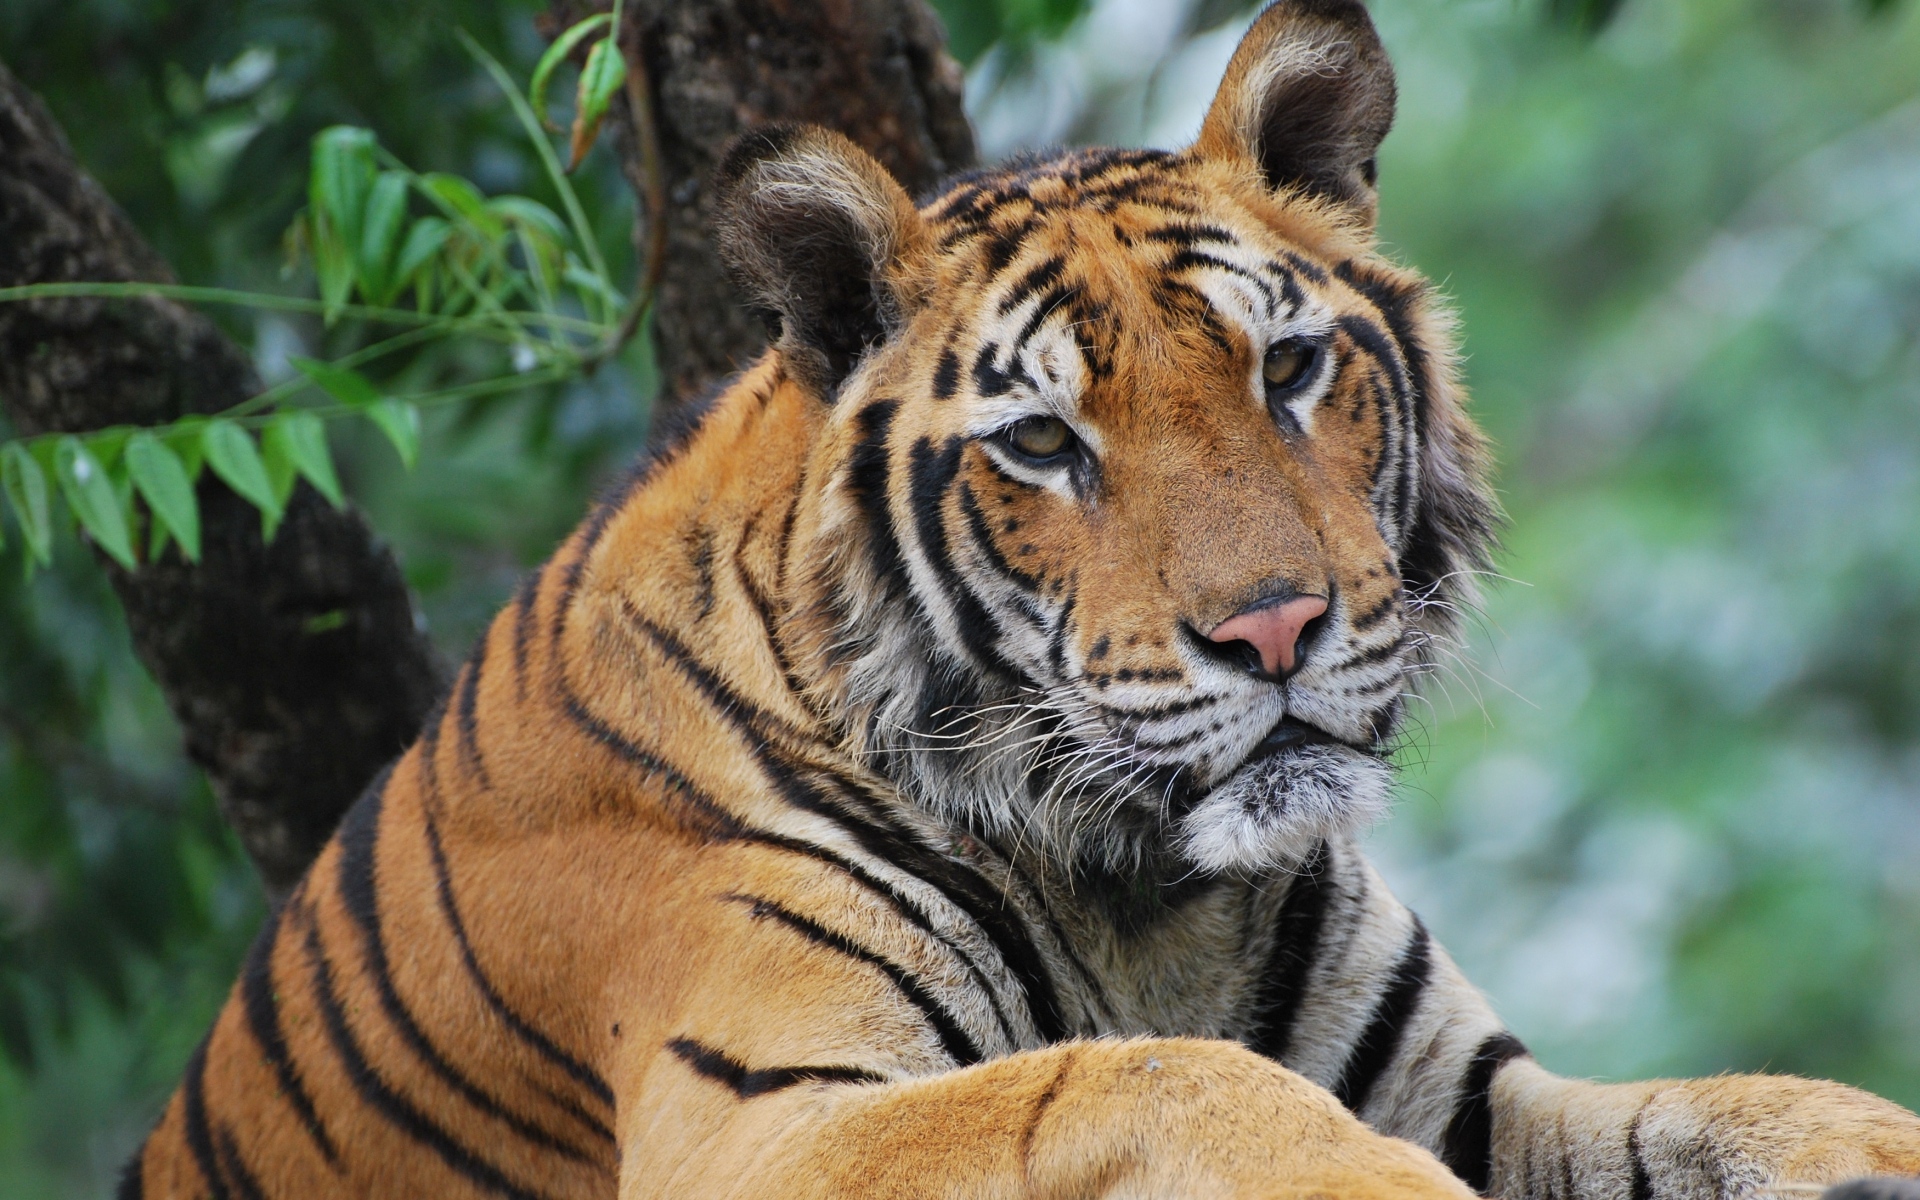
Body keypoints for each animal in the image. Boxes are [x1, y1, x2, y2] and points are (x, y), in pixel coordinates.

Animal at [121, 2, 1920, 1198]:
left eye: (1287, 368)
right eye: (1046, 443)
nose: (1276, 631)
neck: (1157, 899)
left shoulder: (1474, 1085)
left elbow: (1739, 1105)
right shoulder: (761, 1122)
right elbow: (1139, 1079)